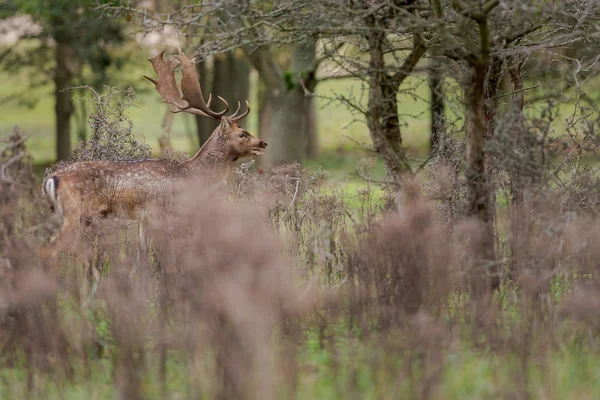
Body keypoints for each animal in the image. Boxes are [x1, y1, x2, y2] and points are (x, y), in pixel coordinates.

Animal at [41, 47, 266, 260]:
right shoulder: (166, 212)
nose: (263, 143)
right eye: (242, 134)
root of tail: (51, 179)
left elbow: (143, 253)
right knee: (51, 248)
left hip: (61, 215)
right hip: (75, 213)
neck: (193, 177)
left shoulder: (144, 219)